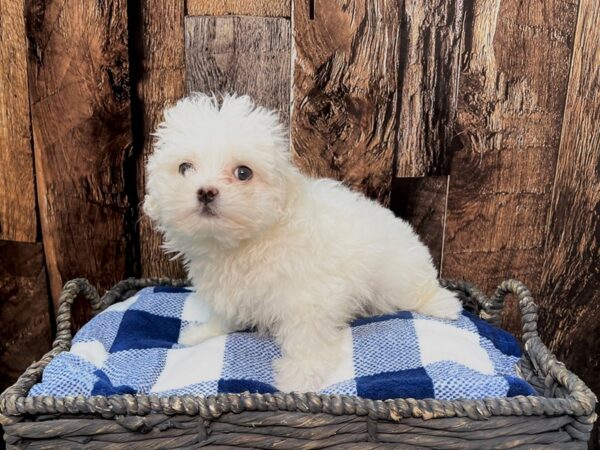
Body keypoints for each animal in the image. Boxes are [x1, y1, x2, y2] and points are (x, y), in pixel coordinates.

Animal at [143, 93, 462, 392]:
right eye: (185, 168)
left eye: (243, 173)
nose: (206, 192)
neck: (245, 243)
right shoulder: (229, 287)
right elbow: (223, 314)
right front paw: (203, 332)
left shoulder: (309, 296)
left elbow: (307, 337)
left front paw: (300, 375)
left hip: (398, 277)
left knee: (418, 291)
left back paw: (444, 304)